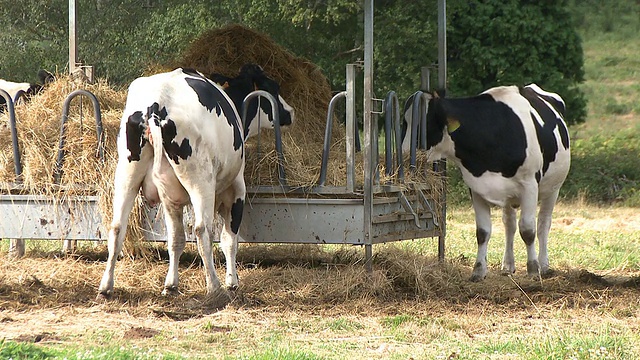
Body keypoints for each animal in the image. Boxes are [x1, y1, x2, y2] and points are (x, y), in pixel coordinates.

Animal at [97, 64, 296, 304]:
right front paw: (232, 282)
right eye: (273, 87)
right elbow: (229, 239)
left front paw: (171, 285)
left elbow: (175, 239)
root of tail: (155, 105)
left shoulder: (170, 199)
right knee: (203, 230)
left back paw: (106, 286)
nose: (289, 112)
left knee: (117, 227)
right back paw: (214, 287)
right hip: (201, 181)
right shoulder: (236, 189)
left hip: (127, 175)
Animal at [404, 83, 568, 282]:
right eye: (404, 123)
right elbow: (482, 232)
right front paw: (478, 270)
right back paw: (508, 265)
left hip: (554, 188)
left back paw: (543, 265)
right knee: (509, 224)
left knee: (543, 223)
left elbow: (528, 230)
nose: (404, 155)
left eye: (423, 125)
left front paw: (533, 270)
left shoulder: (529, 184)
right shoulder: (476, 187)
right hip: (510, 196)